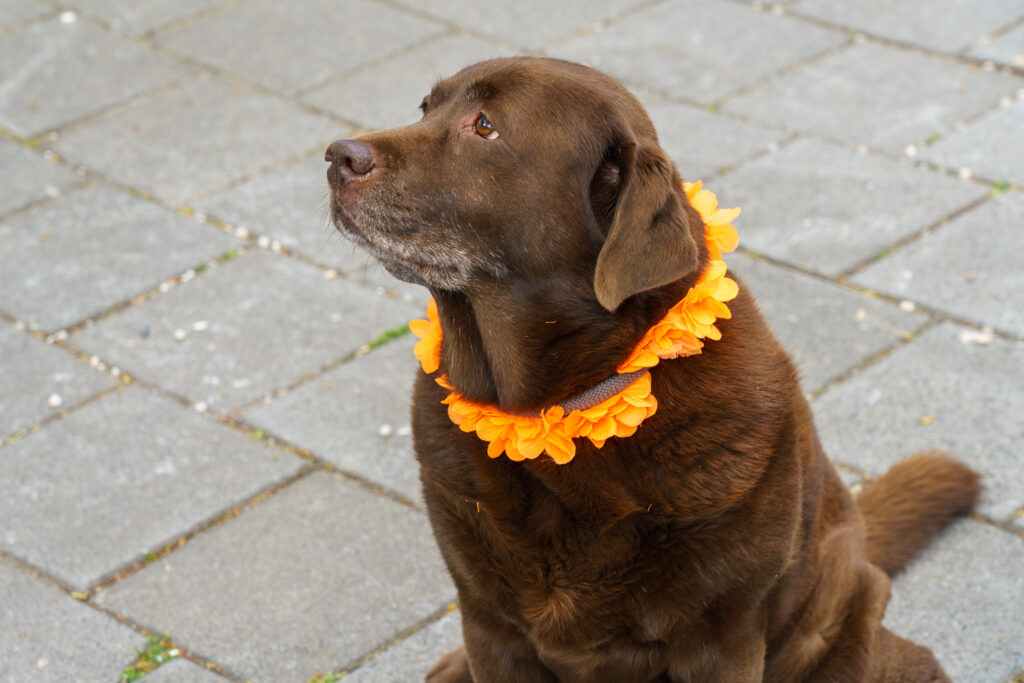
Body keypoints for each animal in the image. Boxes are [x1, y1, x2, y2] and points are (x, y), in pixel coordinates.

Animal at [323, 57, 978, 683]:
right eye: (425, 106)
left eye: (485, 126)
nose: (335, 156)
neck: (553, 404)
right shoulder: (489, 626)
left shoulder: (723, 639)